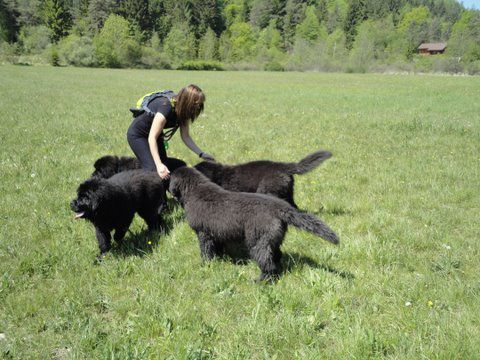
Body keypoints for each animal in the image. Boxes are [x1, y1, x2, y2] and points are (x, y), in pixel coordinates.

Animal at [169, 167, 338, 282]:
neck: (195, 190)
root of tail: (281, 208)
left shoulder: (203, 233)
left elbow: (206, 252)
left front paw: (205, 265)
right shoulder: (216, 234)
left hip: (257, 241)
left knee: (267, 264)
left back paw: (260, 281)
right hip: (272, 239)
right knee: (276, 256)